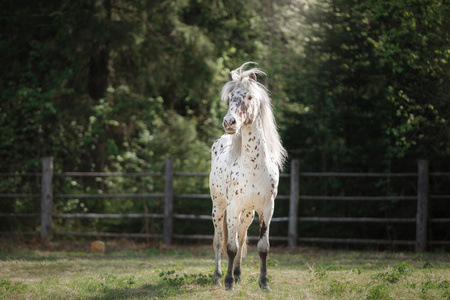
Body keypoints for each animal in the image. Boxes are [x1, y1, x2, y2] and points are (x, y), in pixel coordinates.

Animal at [209, 62, 286, 290]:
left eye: (250, 97)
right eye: (230, 97)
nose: (229, 122)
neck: (253, 166)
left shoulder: (267, 209)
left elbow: (262, 246)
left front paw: (264, 283)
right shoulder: (233, 207)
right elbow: (231, 247)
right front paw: (228, 283)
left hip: (247, 214)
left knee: (242, 238)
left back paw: (238, 275)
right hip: (219, 207)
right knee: (219, 240)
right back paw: (218, 277)